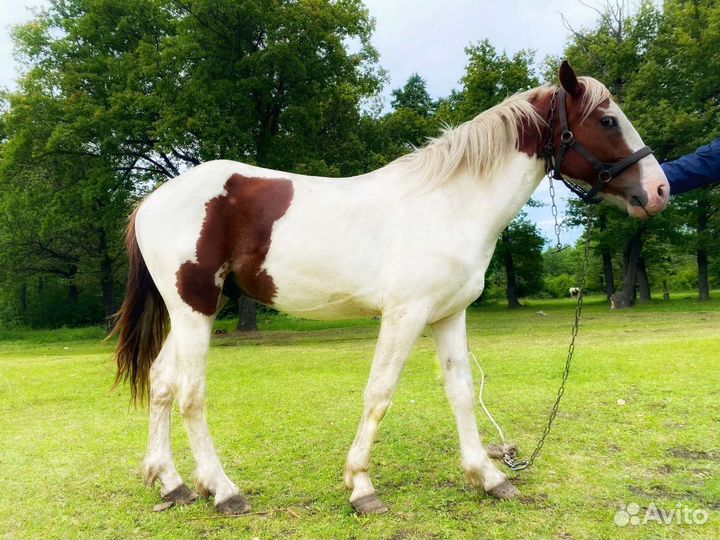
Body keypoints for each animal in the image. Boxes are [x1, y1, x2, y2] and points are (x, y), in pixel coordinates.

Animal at [112, 62, 669, 515]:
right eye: (608, 120)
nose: (659, 190)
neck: (450, 205)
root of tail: (153, 200)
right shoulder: (406, 314)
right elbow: (379, 394)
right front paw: (361, 487)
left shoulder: (448, 315)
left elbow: (461, 392)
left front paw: (489, 478)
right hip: (195, 309)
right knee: (190, 394)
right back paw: (223, 490)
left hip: (189, 312)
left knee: (161, 384)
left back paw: (172, 484)